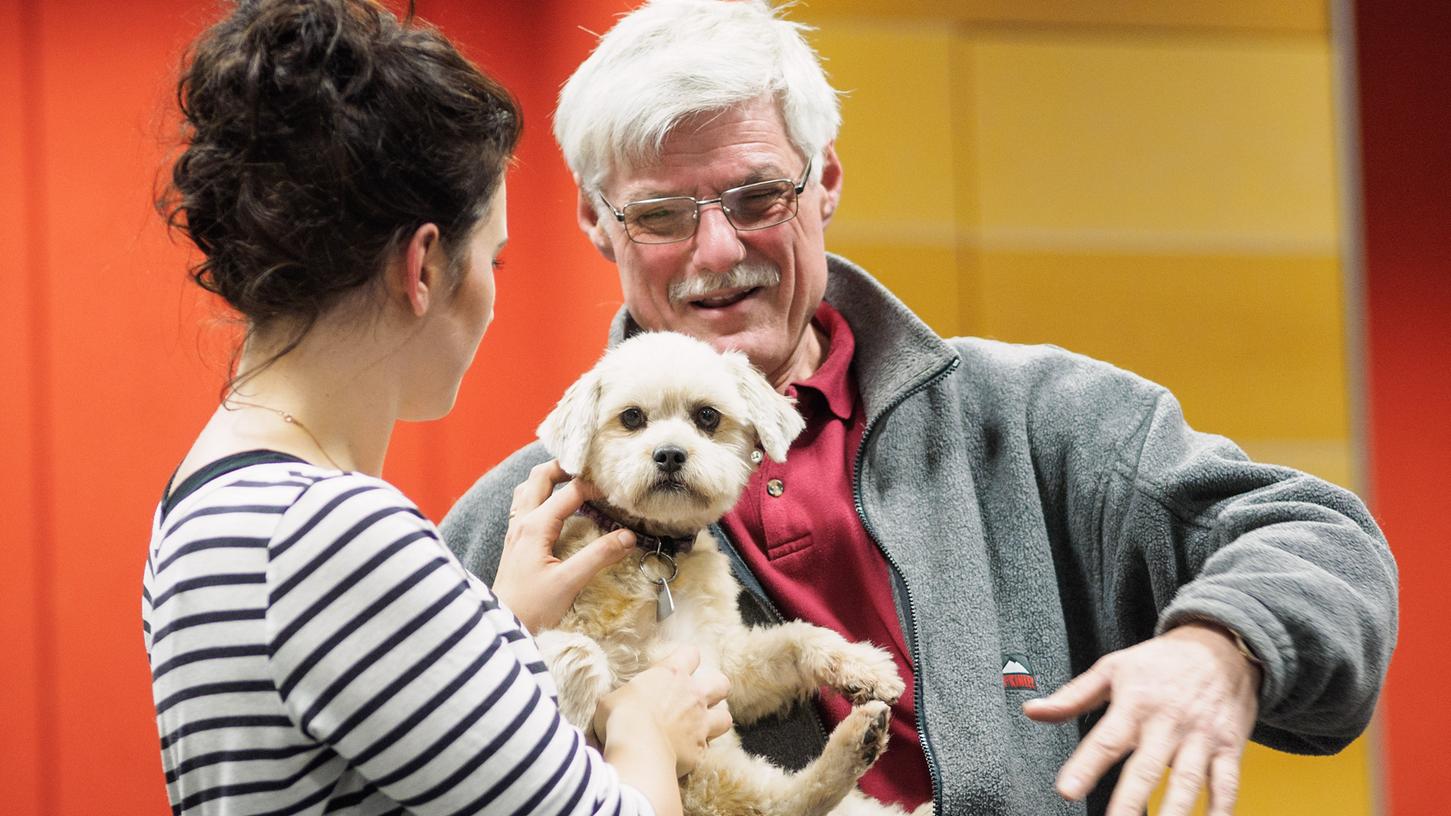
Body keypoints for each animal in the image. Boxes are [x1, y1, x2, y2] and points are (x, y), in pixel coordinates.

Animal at [536, 331, 928, 813]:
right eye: (631, 417)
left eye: (707, 415)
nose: (670, 454)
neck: (657, 552)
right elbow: (578, 652)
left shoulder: (724, 667)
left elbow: (799, 638)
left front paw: (864, 667)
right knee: (784, 804)